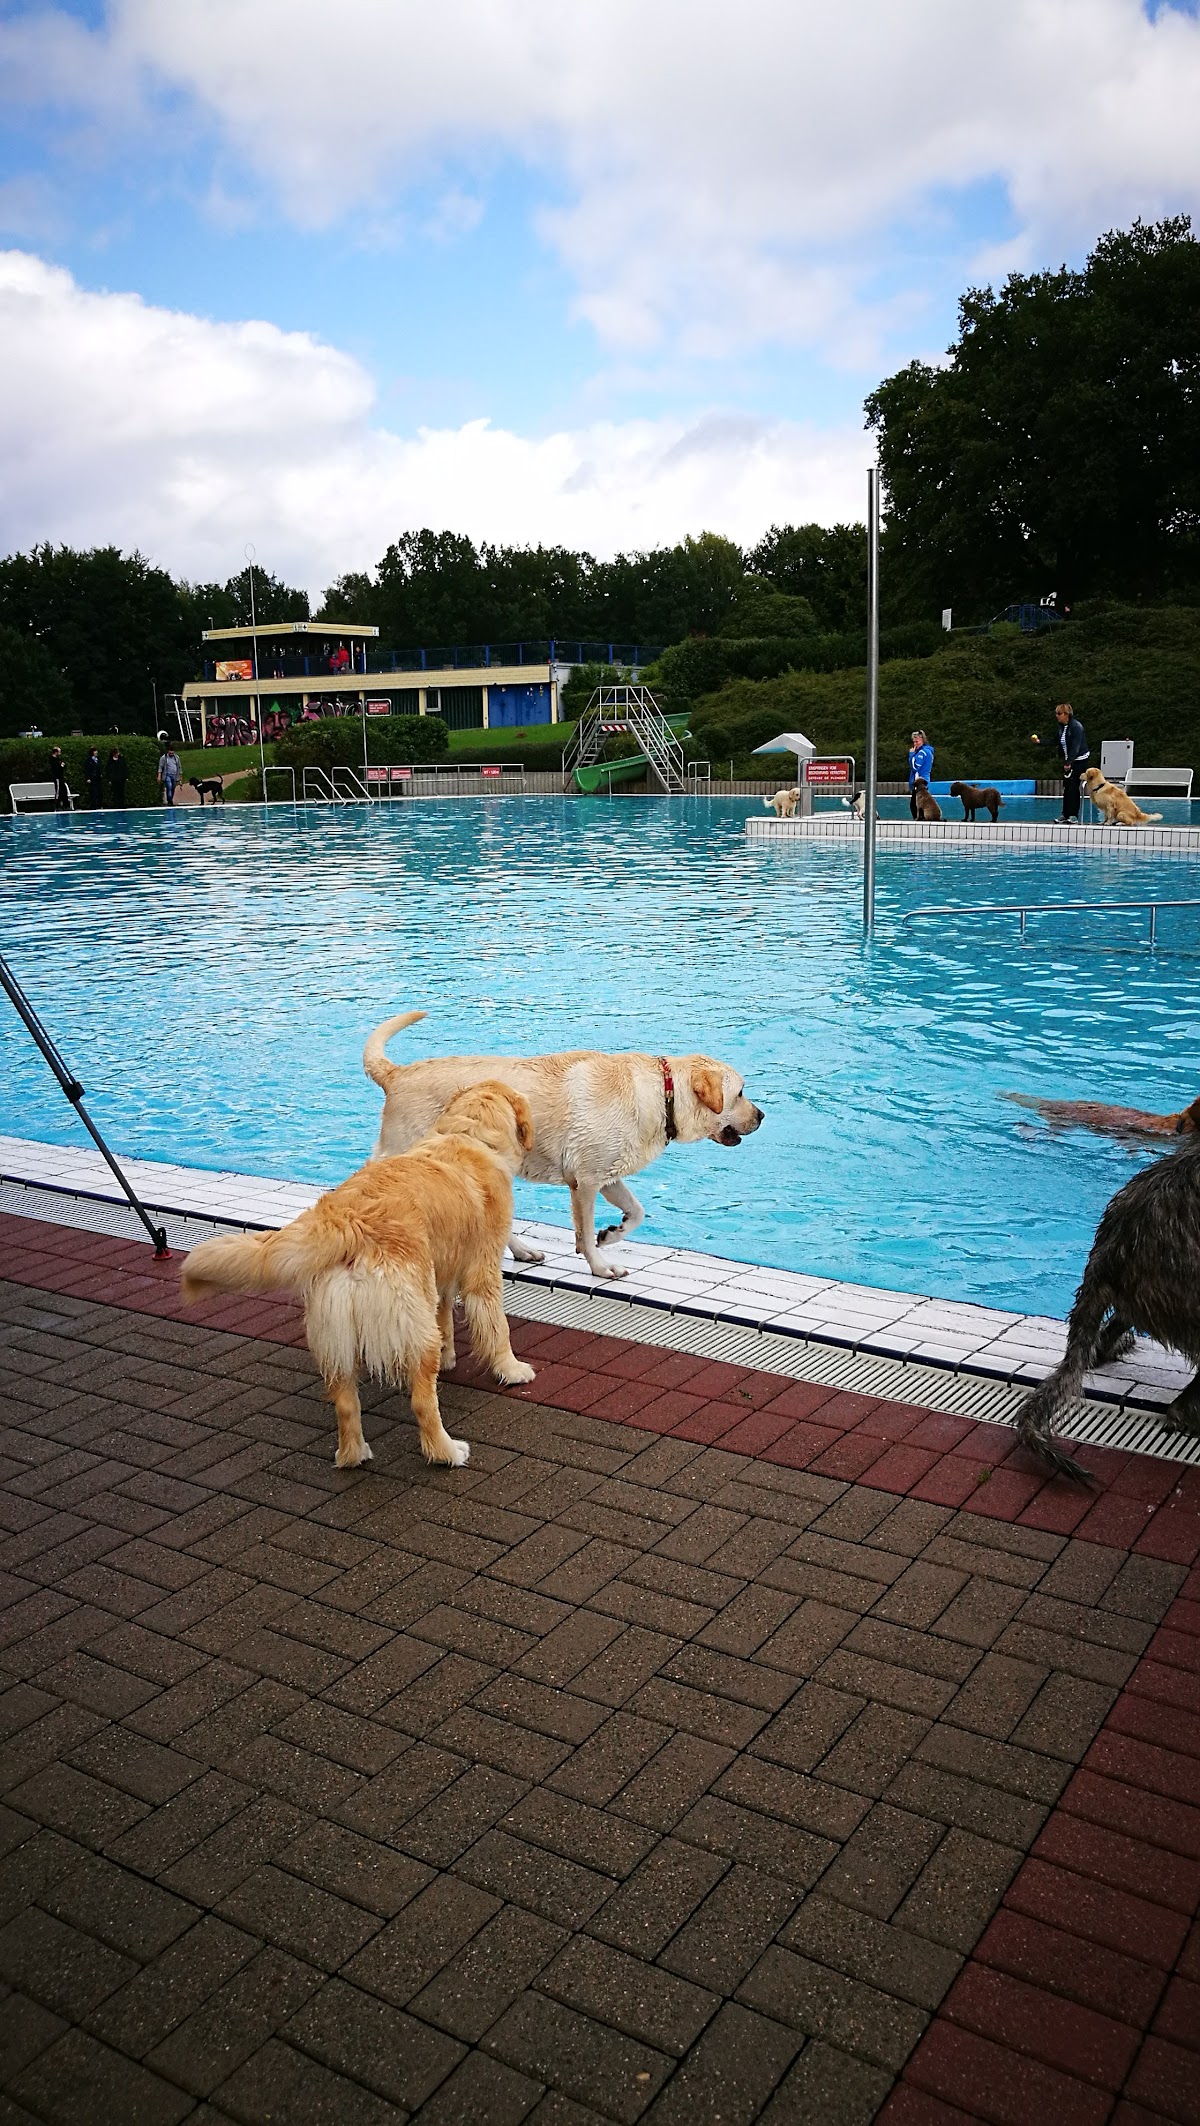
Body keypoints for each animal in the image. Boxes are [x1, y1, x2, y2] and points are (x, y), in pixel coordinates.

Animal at [180, 1082, 535, 1469]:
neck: (468, 1133)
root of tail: (348, 1220)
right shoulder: (482, 1269)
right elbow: (497, 1328)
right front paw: (511, 1369)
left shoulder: (441, 1271)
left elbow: (445, 1315)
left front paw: (451, 1355)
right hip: (406, 1323)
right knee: (422, 1403)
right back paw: (447, 1451)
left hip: (336, 1333)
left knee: (346, 1404)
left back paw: (353, 1453)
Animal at [363, 1012, 764, 1281]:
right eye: (741, 1092)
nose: (762, 1115)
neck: (662, 1092)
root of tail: (396, 1074)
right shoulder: (585, 1182)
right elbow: (584, 1234)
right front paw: (600, 1265)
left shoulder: (608, 1176)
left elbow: (637, 1211)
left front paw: (611, 1234)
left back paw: (522, 1250)